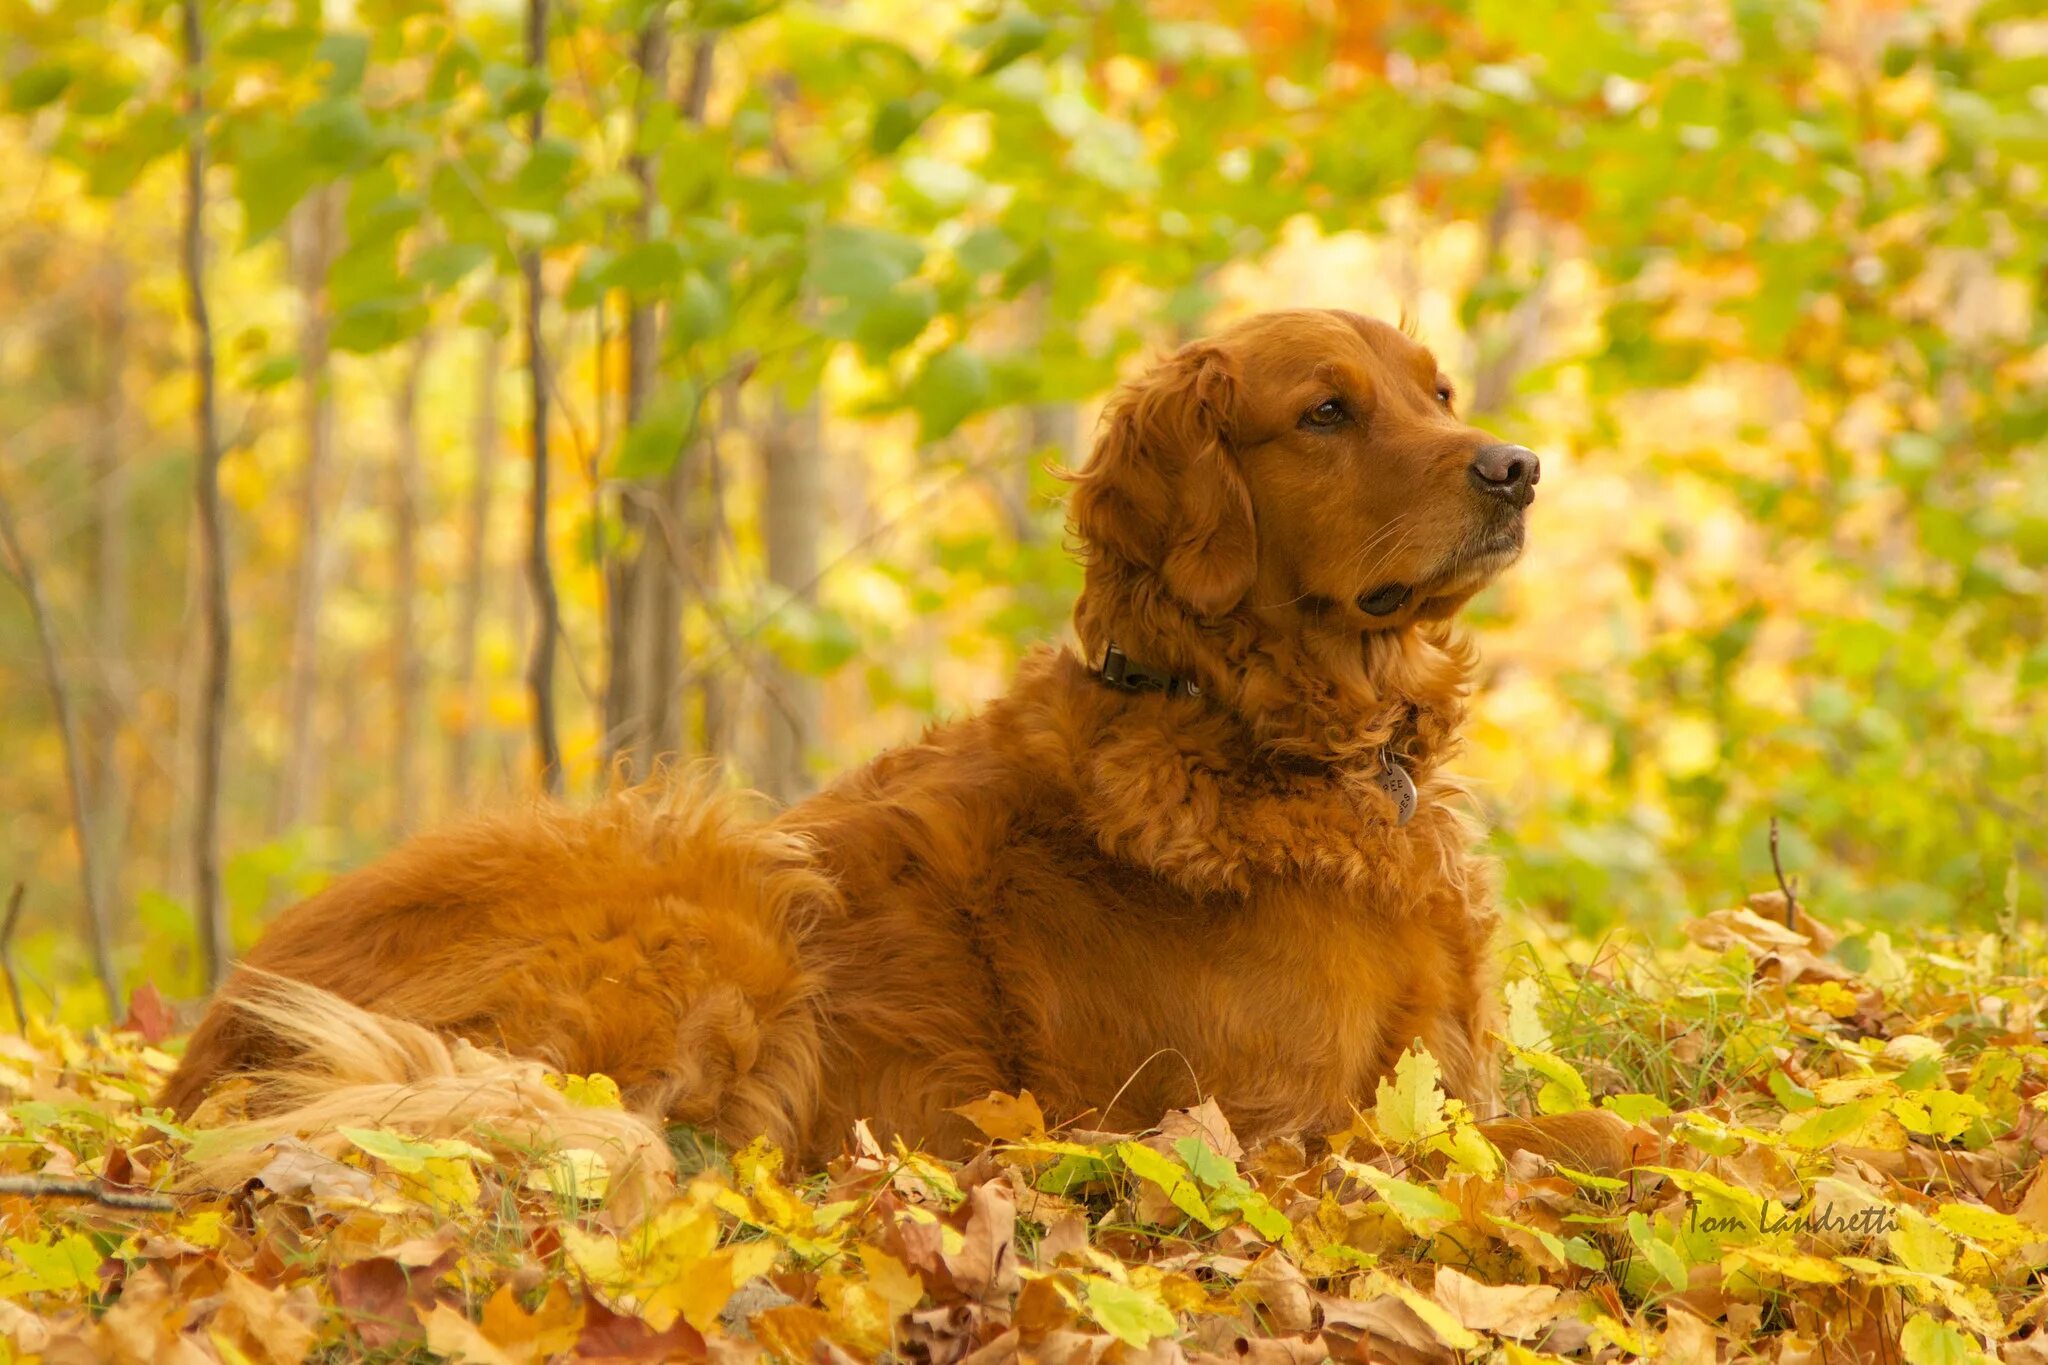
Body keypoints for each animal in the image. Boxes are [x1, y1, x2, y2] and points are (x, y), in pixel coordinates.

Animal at [163, 309, 1581, 1178]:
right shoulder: (1269, 1123)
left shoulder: (1453, 1079)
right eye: (1326, 413)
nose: (1516, 468)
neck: (1263, 732)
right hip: (723, 878)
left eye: (1435, 392)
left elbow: (1570, 1130)